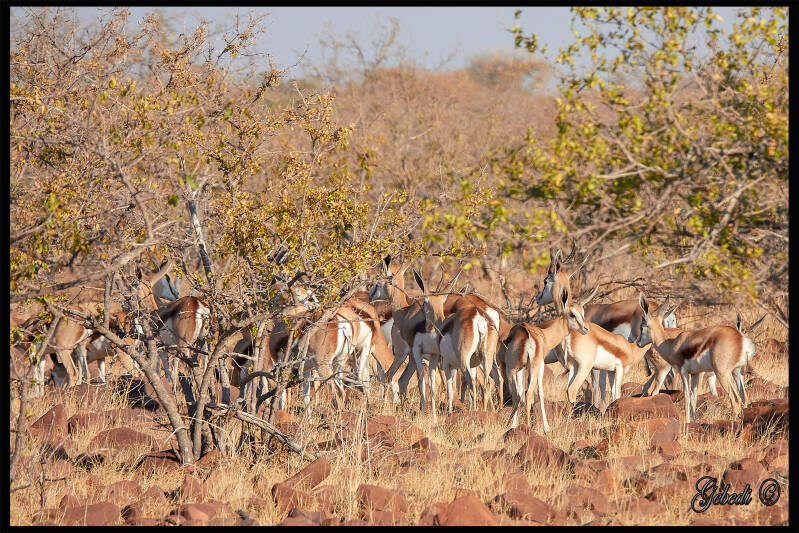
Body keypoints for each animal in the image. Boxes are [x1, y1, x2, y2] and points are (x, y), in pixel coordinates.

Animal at [498, 284, 590, 432]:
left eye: (582, 313)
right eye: (572, 314)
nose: (586, 329)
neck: (544, 336)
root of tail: (527, 335)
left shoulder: (522, 369)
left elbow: (524, 392)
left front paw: (515, 424)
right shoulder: (540, 365)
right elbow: (540, 392)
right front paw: (546, 428)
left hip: (512, 369)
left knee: (518, 395)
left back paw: (510, 425)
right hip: (527, 368)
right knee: (528, 394)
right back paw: (526, 426)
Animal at [636, 293, 756, 423]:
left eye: (641, 327)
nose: (638, 343)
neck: (671, 344)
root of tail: (741, 340)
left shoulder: (683, 372)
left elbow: (687, 396)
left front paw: (688, 421)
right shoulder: (695, 373)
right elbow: (694, 397)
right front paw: (694, 420)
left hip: (722, 373)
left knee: (735, 398)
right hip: (735, 371)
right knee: (741, 397)